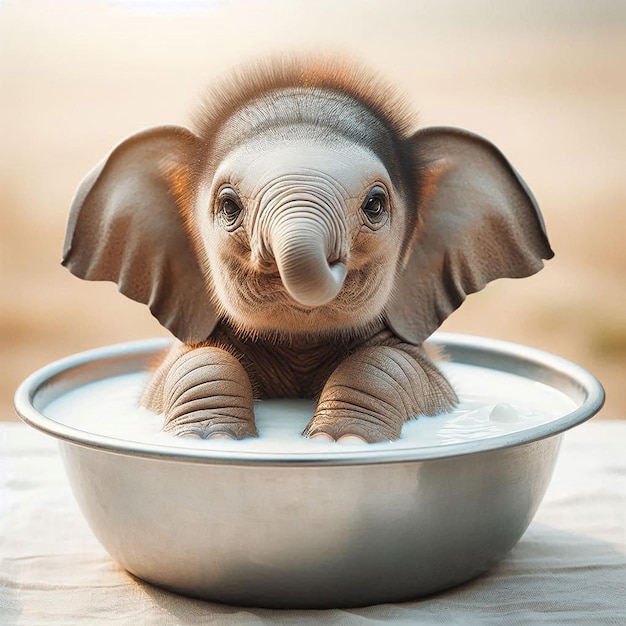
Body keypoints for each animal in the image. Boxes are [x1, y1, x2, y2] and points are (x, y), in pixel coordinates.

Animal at [63, 57, 552, 438]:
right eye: (229, 205)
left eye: (375, 204)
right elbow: (186, 364)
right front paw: (211, 436)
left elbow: (405, 366)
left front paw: (342, 439)